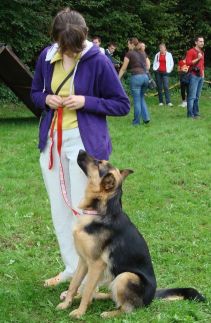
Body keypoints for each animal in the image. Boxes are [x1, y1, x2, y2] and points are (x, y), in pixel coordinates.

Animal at [56, 151, 205, 320]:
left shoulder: (96, 264)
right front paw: (67, 303)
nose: (81, 151)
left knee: (127, 308)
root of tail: (152, 297)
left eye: (98, 163)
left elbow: (87, 289)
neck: (101, 211)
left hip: (125, 276)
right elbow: (74, 284)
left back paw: (108, 313)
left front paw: (80, 312)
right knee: (111, 296)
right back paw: (93, 297)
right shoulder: (83, 261)